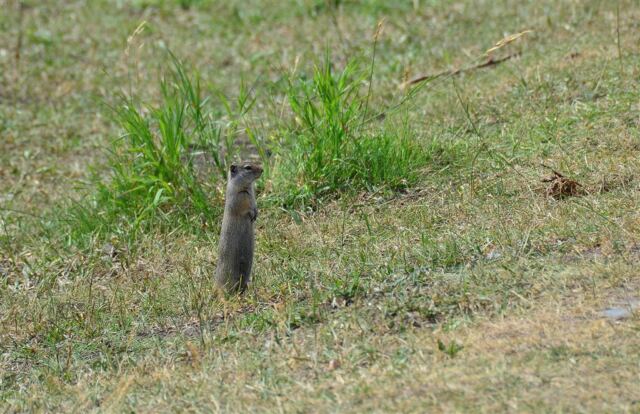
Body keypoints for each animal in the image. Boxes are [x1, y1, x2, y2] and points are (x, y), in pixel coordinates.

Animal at [215, 162, 263, 294]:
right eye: (248, 167)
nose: (262, 169)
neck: (246, 188)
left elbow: (255, 206)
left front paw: (256, 214)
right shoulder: (240, 200)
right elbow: (245, 209)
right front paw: (252, 215)